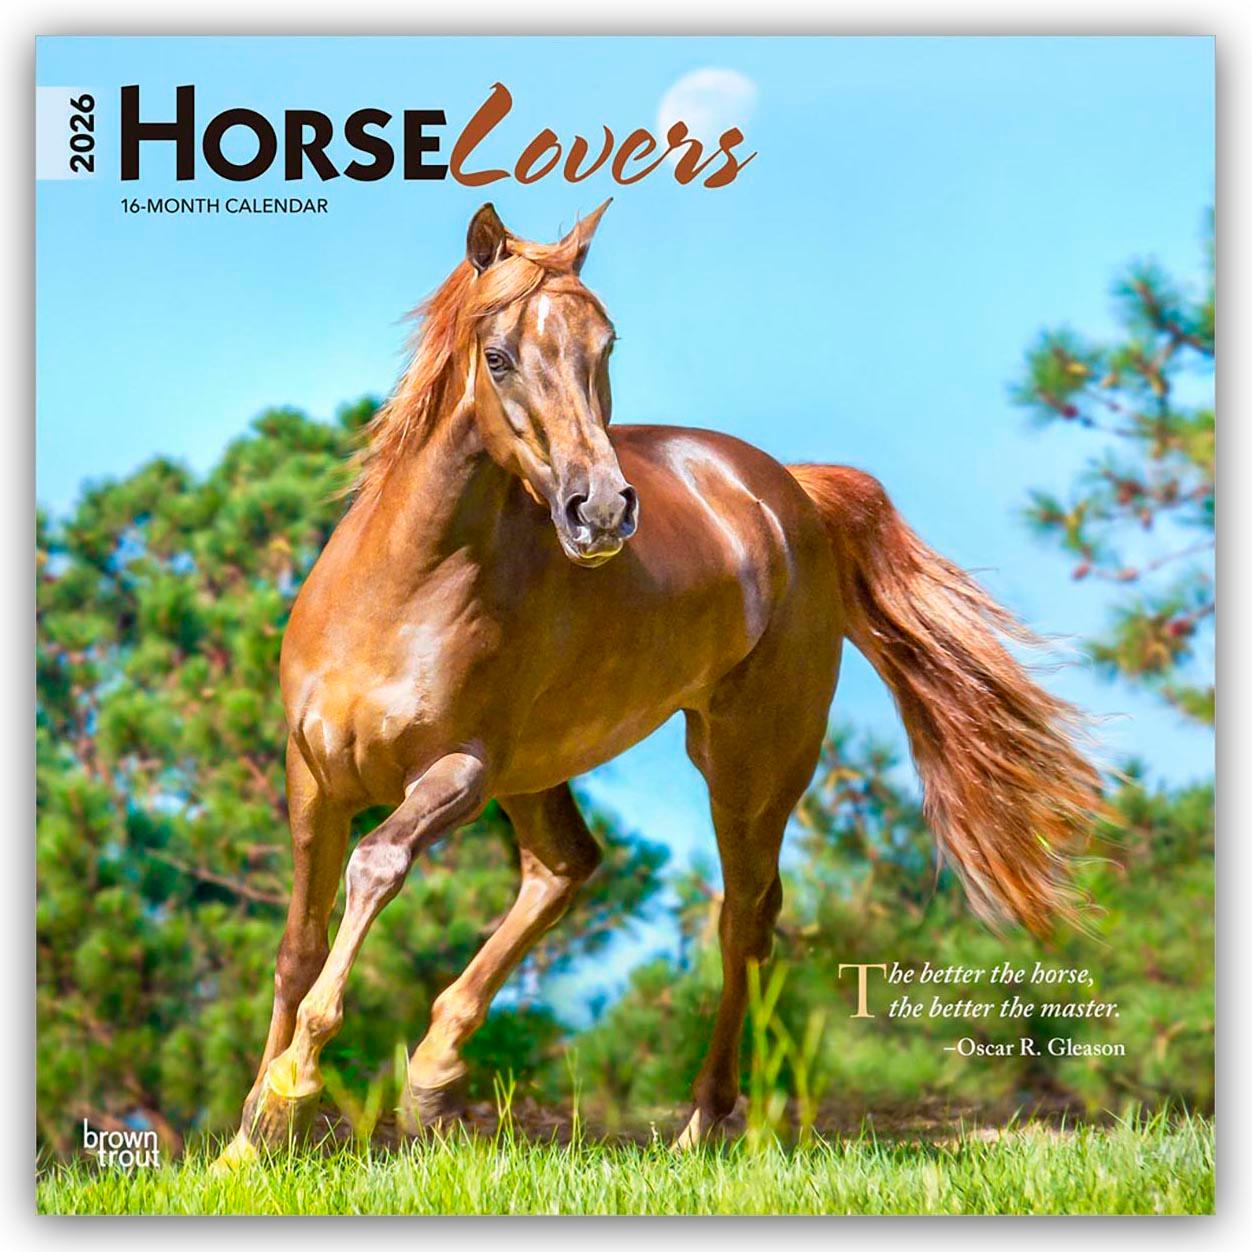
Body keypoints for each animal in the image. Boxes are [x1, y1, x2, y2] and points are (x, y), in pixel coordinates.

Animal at [216, 200, 1101, 1165]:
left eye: (606, 345)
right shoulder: (313, 774)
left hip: (745, 761)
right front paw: (248, 1137)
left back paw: (703, 1121)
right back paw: (436, 1081)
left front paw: (291, 1088)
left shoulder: (459, 772)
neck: (401, 589)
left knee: (742, 914)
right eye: (500, 356)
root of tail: (791, 493)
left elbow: (377, 866)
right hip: (541, 773)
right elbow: (299, 945)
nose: (601, 509)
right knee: (568, 868)